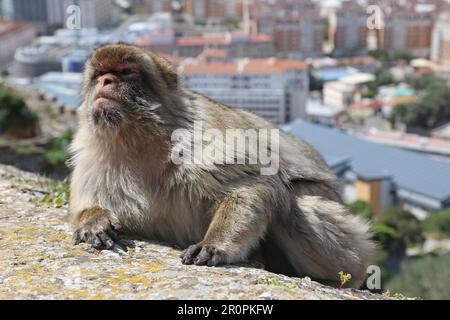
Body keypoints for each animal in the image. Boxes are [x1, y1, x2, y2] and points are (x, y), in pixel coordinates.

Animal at [68, 43, 374, 288]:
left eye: (126, 71)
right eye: (99, 74)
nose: (106, 81)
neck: (138, 137)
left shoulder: (201, 140)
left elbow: (252, 186)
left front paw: (214, 244)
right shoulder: (91, 155)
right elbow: (89, 201)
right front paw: (94, 220)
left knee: (294, 203)